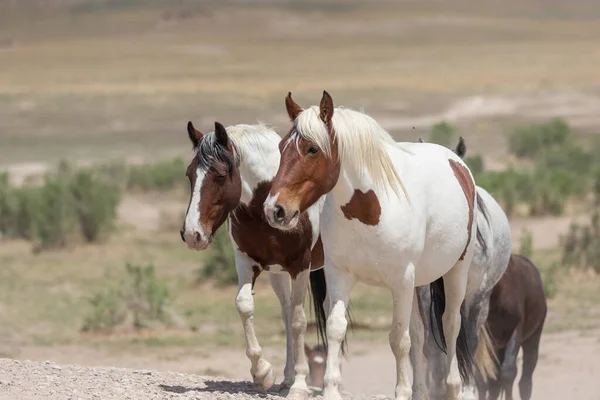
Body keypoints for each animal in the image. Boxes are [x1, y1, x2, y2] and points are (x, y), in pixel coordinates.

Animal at [178, 121, 328, 400]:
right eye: (189, 174)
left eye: (220, 174)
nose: (192, 234)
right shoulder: (248, 261)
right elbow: (245, 305)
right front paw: (263, 373)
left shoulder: (301, 266)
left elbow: (299, 321)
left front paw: (300, 385)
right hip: (277, 274)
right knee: (286, 312)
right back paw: (286, 379)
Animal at [262, 91, 488, 400]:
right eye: (281, 146)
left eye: (312, 149)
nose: (275, 209)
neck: (368, 209)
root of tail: (456, 162)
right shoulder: (339, 275)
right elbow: (336, 328)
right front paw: (331, 388)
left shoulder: (401, 280)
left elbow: (398, 339)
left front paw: (401, 392)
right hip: (418, 283)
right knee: (420, 331)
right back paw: (420, 391)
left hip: (456, 271)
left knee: (450, 323)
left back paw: (453, 387)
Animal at [476, 255, 548, 398]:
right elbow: (482, 379)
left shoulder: (515, 331)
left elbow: (509, 373)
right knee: (494, 382)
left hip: (532, 337)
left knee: (525, 379)